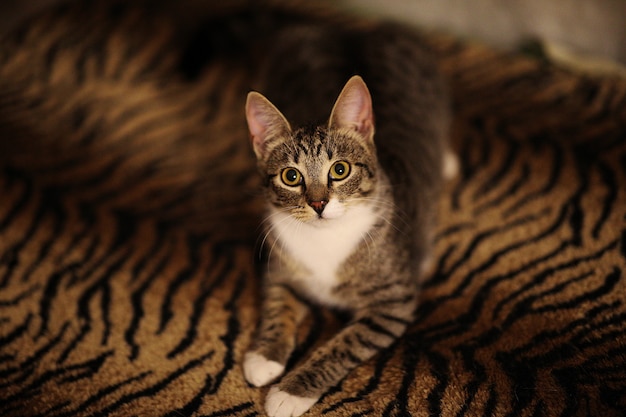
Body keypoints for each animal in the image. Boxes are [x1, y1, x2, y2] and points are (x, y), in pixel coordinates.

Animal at [239, 22, 454, 416]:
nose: (319, 202)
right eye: (291, 176)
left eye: (339, 170)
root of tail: (354, 30)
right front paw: (265, 356)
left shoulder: (392, 303)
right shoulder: (279, 268)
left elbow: (343, 345)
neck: (325, 237)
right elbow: (277, 305)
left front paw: (290, 391)